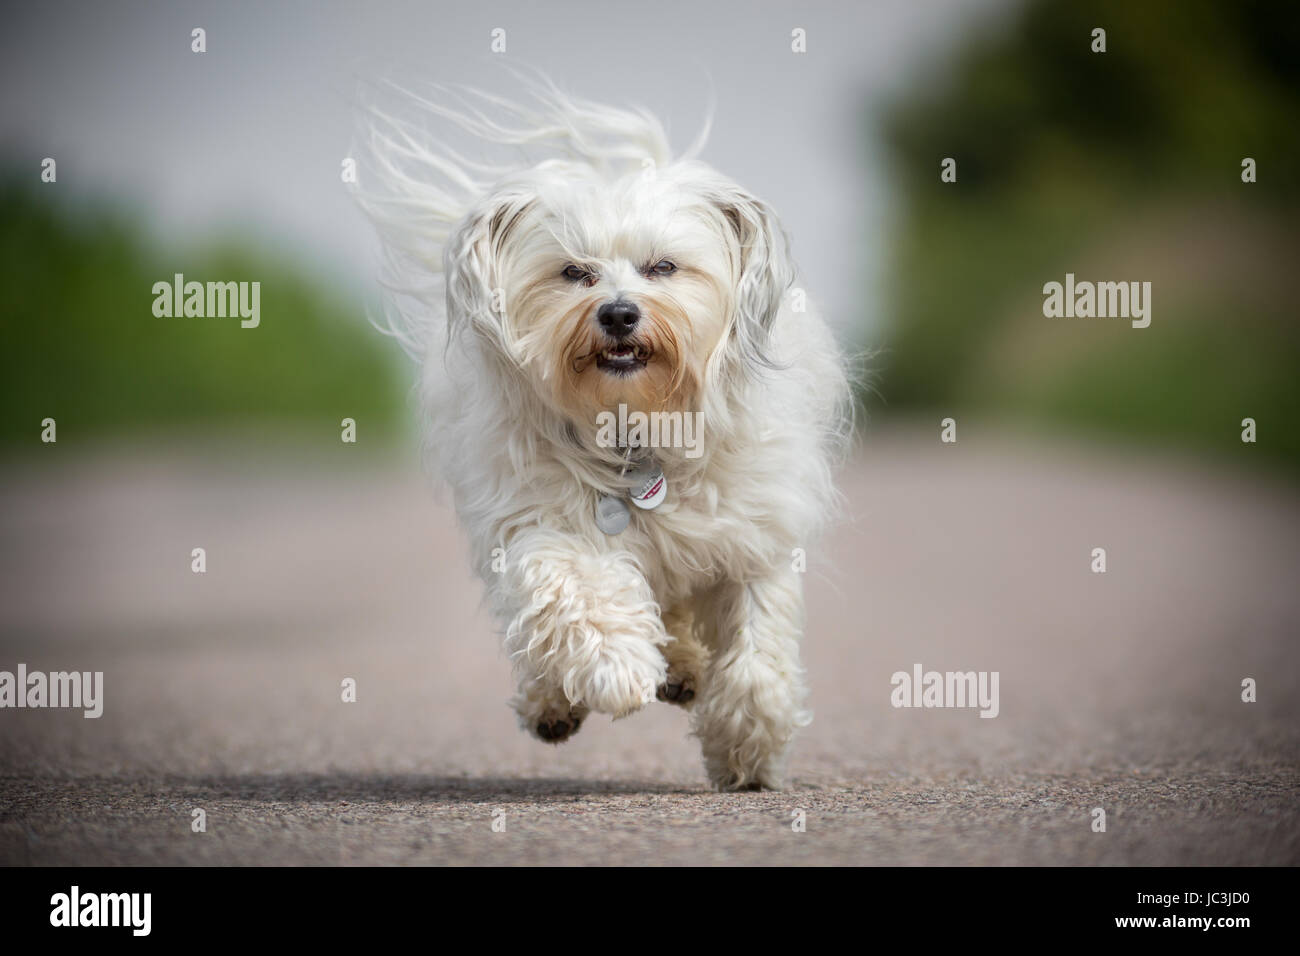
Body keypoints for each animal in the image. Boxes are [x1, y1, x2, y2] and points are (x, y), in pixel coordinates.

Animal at [356, 78, 852, 790]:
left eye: (663, 267)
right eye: (574, 273)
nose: (618, 313)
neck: (635, 424)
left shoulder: (753, 537)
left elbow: (759, 653)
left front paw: (746, 749)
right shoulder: (543, 518)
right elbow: (575, 594)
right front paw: (617, 672)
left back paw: (683, 670)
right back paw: (557, 702)